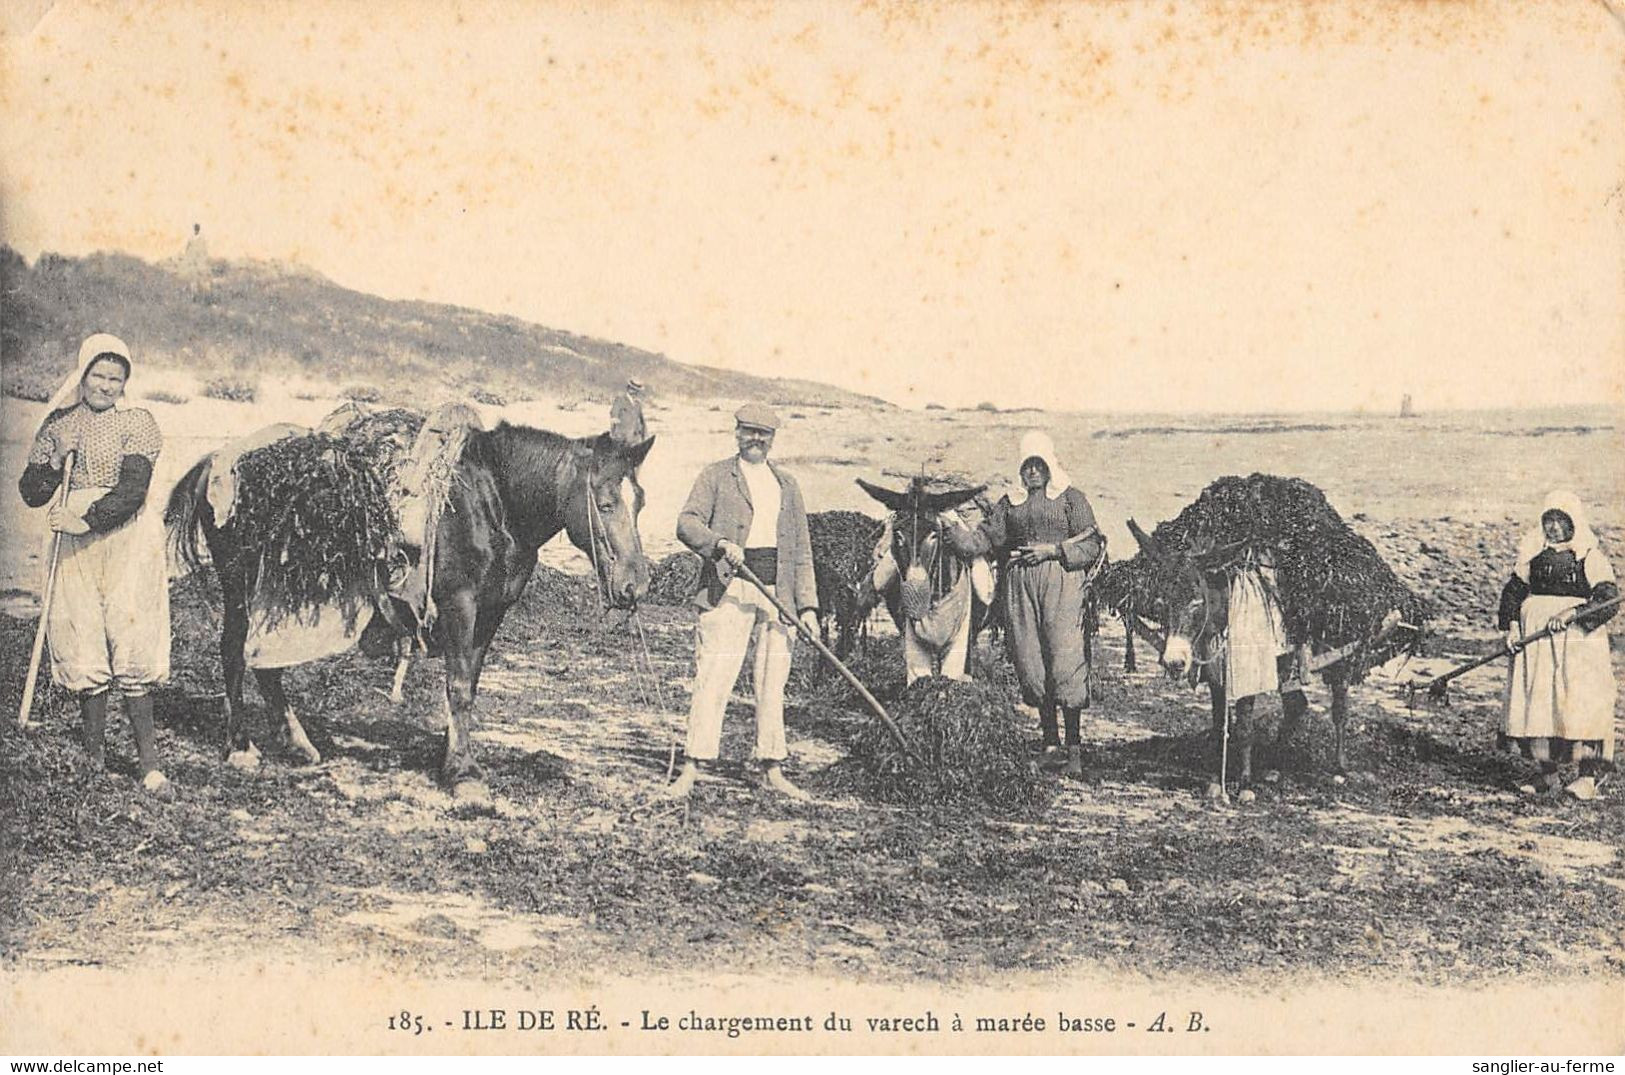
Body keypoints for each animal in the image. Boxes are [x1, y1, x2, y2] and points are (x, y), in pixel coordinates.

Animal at [163, 422, 646, 798]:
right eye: (605, 504)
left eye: (639, 502)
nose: (635, 584)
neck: (493, 502)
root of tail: (214, 460)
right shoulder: (459, 606)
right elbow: (458, 686)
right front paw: (464, 774)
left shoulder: (492, 612)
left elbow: (469, 684)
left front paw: (452, 759)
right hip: (239, 587)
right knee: (233, 653)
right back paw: (241, 747)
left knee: (265, 665)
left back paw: (297, 744)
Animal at [851, 477, 988, 682]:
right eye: (898, 534)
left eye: (934, 534)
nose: (915, 592)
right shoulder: (911, 634)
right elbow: (919, 680)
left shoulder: (961, 636)